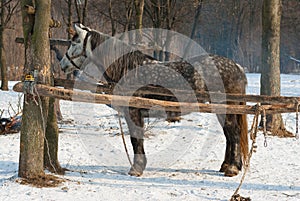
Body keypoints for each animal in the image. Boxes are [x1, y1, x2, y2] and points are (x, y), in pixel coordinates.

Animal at [59, 24, 248, 177]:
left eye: (75, 43)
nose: (62, 64)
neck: (129, 69)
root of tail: (237, 67)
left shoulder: (133, 112)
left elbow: (136, 140)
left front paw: (136, 169)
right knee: (229, 134)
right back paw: (227, 166)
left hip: (226, 109)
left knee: (233, 133)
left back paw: (232, 169)